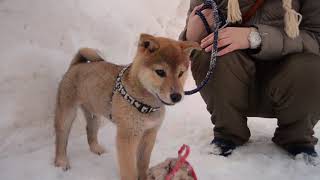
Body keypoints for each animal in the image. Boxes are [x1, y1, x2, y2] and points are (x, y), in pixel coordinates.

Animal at [54, 34, 200, 180]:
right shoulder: (128, 137)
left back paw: (96, 149)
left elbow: (143, 163)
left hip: (94, 114)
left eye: (181, 73)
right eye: (160, 72)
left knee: (90, 131)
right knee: (61, 139)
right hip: (67, 113)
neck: (148, 105)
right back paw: (61, 161)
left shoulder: (150, 133)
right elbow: (129, 170)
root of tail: (77, 64)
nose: (177, 96)